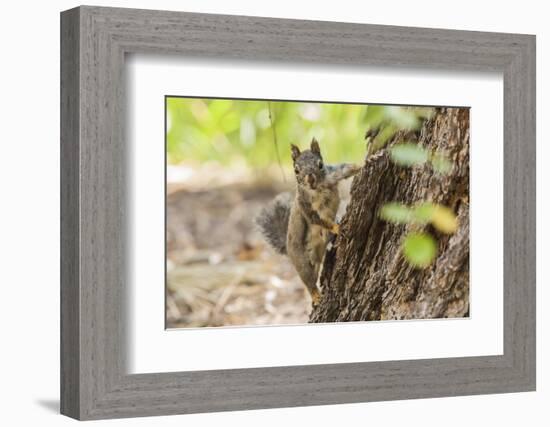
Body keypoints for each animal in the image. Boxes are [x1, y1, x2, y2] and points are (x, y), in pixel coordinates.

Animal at [258, 139, 364, 306]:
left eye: (320, 164)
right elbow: (317, 219)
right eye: (296, 170)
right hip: (300, 260)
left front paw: (363, 163)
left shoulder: (332, 174)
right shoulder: (305, 205)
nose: (310, 179)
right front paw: (337, 227)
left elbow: (345, 169)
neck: (318, 189)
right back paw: (315, 295)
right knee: (308, 281)